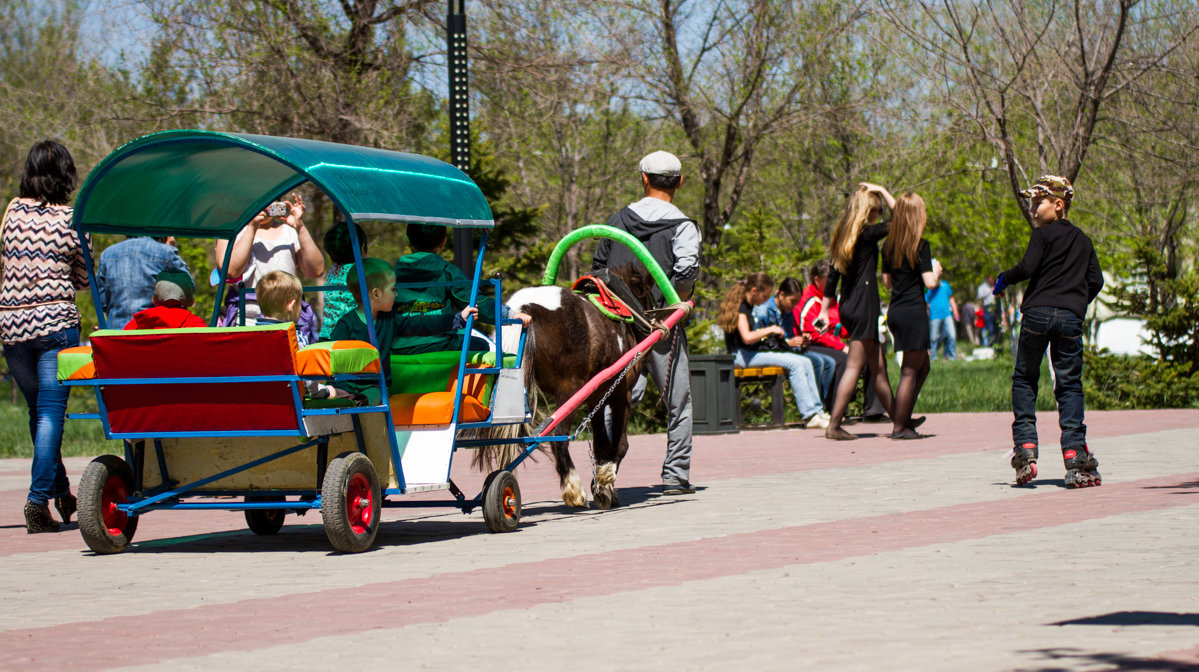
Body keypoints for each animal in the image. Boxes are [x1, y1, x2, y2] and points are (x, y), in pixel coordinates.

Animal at [481, 267, 652, 508]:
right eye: (647, 291)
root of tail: (523, 308)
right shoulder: (621, 392)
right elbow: (620, 445)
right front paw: (605, 482)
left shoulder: (596, 397)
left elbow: (601, 444)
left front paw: (602, 486)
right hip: (568, 391)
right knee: (558, 437)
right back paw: (574, 487)